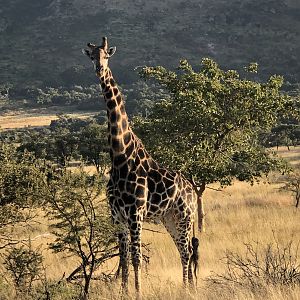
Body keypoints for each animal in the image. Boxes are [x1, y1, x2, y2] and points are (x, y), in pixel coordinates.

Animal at [82, 36, 205, 296]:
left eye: (106, 55)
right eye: (92, 56)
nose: (99, 69)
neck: (120, 156)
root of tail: (192, 190)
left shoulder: (135, 212)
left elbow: (136, 257)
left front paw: (138, 292)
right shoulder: (116, 215)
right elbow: (123, 258)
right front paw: (124, 292)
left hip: (185, 217)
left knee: (187, 251)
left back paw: (187, 288)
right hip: (169, 219)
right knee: (185, 250)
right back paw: (188, 287)